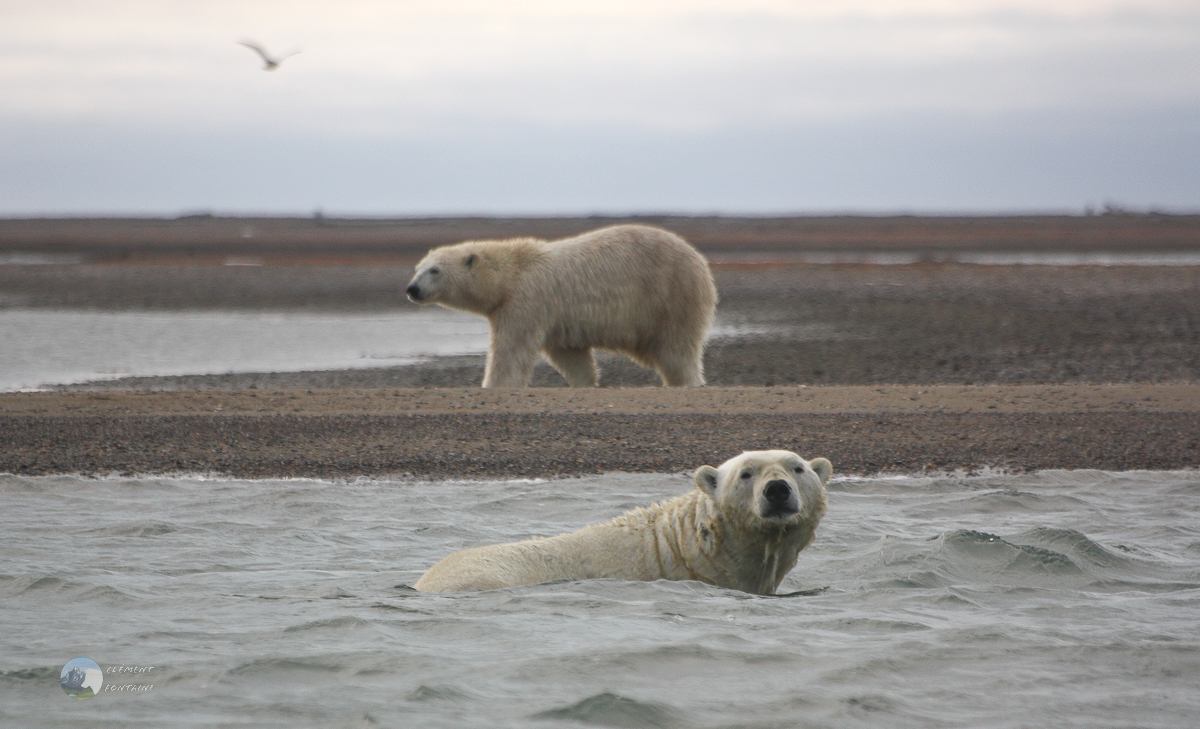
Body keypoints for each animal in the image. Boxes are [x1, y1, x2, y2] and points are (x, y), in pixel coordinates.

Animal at [408, 225, 715, 390]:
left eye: (434, 271)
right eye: (417, 268)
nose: (412, 289)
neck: (509, 274)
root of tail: (700, 259)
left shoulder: (526, 301)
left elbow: (512, 349)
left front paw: (494, 384)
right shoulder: (557, 317)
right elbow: (570, 354)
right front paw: (585, 382)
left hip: (671, 295)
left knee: (676, 347)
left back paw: (687, 380)